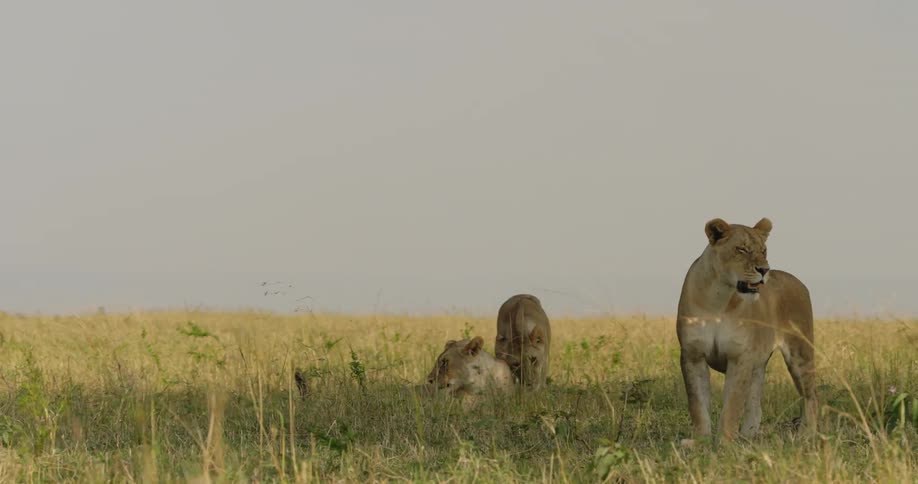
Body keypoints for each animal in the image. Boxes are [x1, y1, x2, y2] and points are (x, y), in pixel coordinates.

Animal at [677, 217, 817, 442]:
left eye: (764, 250)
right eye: (742, 249)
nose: (764, 270)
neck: (719, 299)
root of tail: (798, 281)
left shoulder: (739, 356)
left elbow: (732, 405)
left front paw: (725, 441)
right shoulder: (692, 355)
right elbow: (697, 404)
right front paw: (701, 440)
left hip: (800, 354)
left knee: (811, 395)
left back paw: (808, 433)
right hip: (758, 363)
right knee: (755, 402)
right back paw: (748, 435)